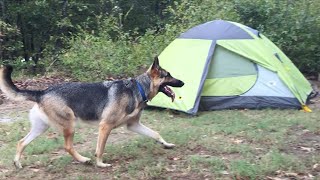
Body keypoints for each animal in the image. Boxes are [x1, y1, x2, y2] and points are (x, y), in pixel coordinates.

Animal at [0, 56, 184, 169]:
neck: (138, 88)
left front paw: (166, 144)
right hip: (69, 125)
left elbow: (155, 133)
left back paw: (17, 163)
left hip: (41, 128)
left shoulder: (133, 125)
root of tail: (42, 92)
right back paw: (83, 159)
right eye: (168, 75)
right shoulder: (105, 126)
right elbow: (100, 149)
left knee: (21, 142)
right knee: (67, 146)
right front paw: (101, 164)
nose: (183, 82)